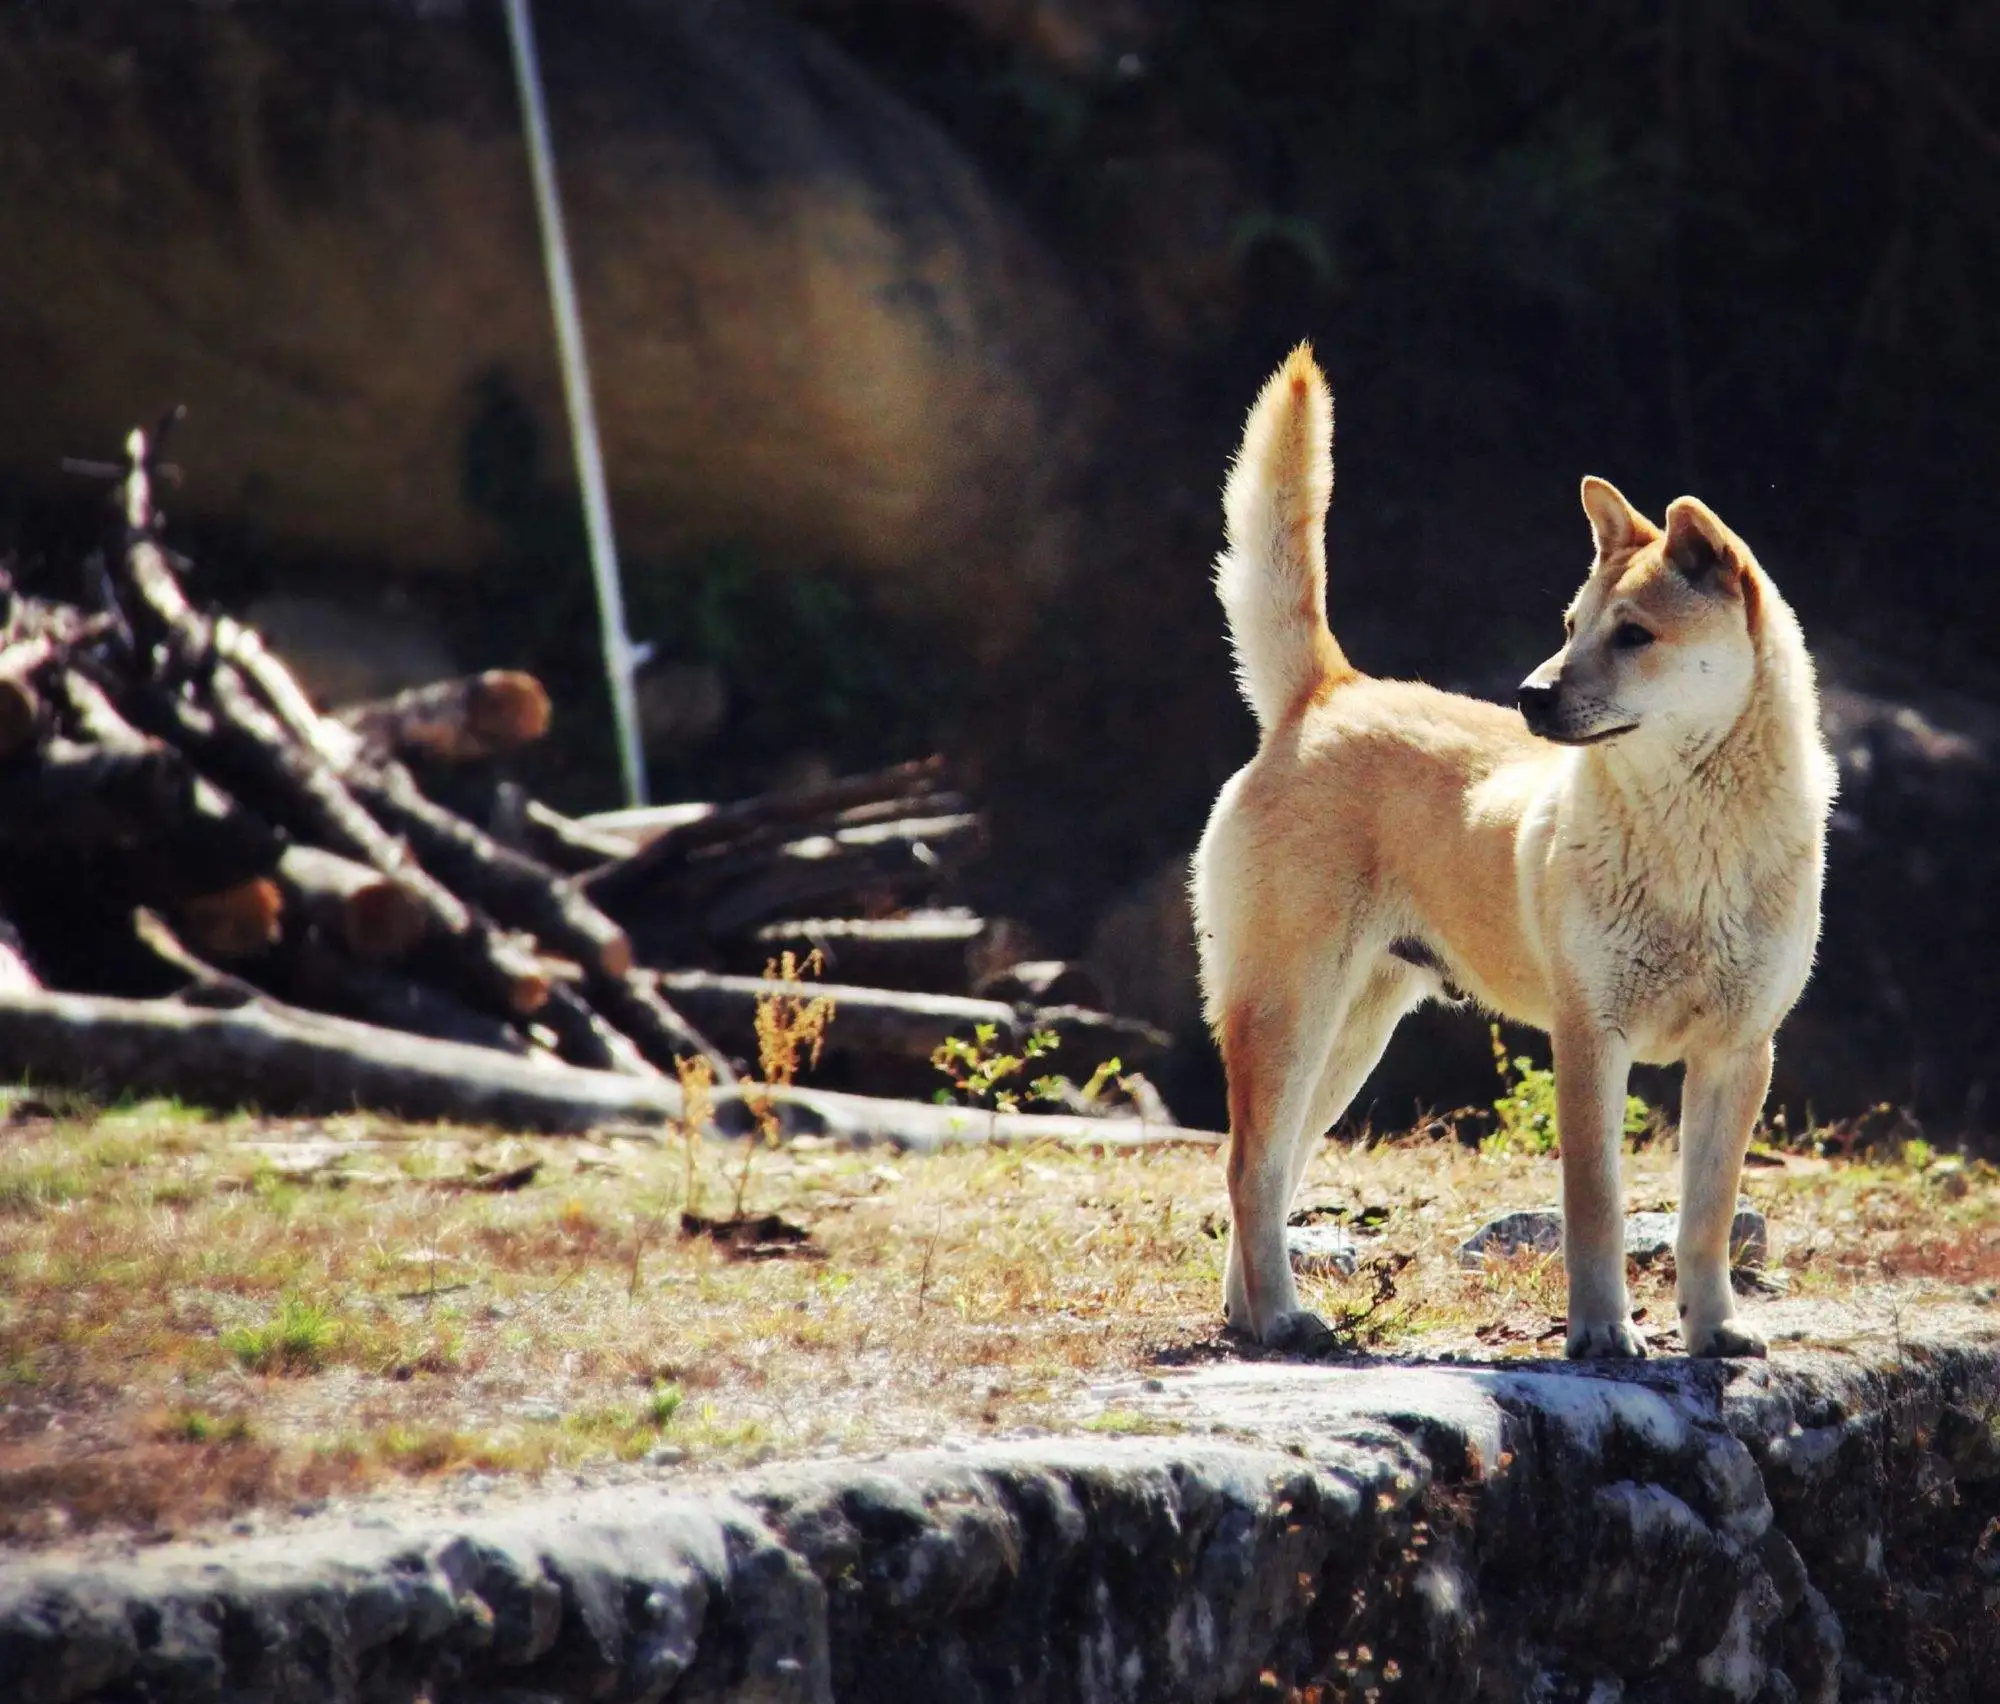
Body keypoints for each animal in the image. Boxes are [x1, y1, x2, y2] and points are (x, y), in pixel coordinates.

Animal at [1192, 346, 1832, 1360]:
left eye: (1634, 635)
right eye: (1571, 626)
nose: (1530, 695)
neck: (1692, 837)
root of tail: (1327, 692)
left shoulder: (1738, 1054)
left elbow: (1703, 1217)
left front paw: (1714, 1330)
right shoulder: (1590, 1040)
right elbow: (1598, 1205)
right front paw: (1604, 1333)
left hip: (1349, 1035)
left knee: (1269, 1162)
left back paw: (1257, 1315)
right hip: (1290, 1010)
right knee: (1250, 1165)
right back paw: (1285, 1320)